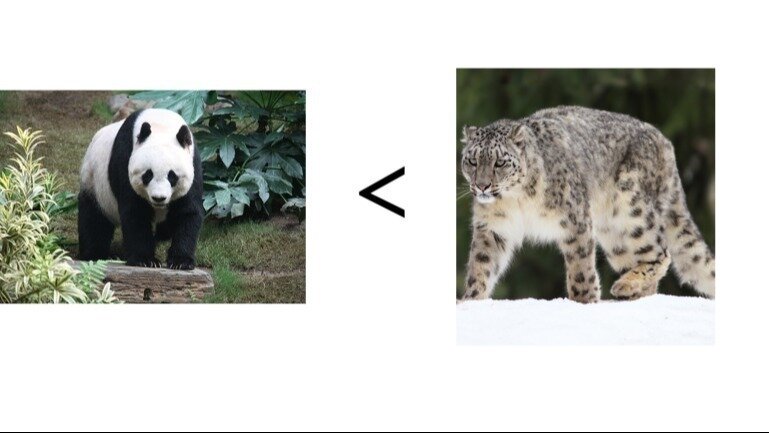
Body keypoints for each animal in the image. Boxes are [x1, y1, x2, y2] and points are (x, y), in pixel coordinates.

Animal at [78, 108, 204, 269]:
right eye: (148, 175)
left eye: (172, 176)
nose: (158, 198)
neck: (161, 125)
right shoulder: (125, 158)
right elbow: (135, 212)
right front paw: (145, 260)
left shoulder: (193, 164)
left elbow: (187, 212)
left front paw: (181, 262)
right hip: (94, 183)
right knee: (94, 219)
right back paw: (95, 254)